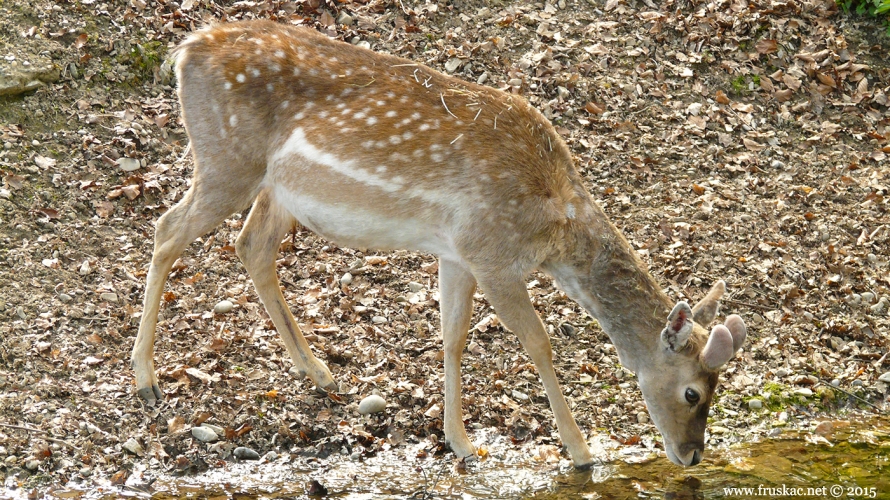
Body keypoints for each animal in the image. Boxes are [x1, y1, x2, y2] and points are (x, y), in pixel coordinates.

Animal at [130, 19, 744, 470]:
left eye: (717, 388)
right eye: (693, 392)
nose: (692, 456)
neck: (554, 220)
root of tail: (185, 49)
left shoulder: (457, 252)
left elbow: (453, 338)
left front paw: (461, 441)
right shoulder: (492, 253)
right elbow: (539, 343)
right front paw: (579, 452)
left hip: (274, 189)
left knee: (250, 245)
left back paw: (321, 374)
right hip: (226, 157)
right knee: (166, 229)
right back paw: (145, 380)